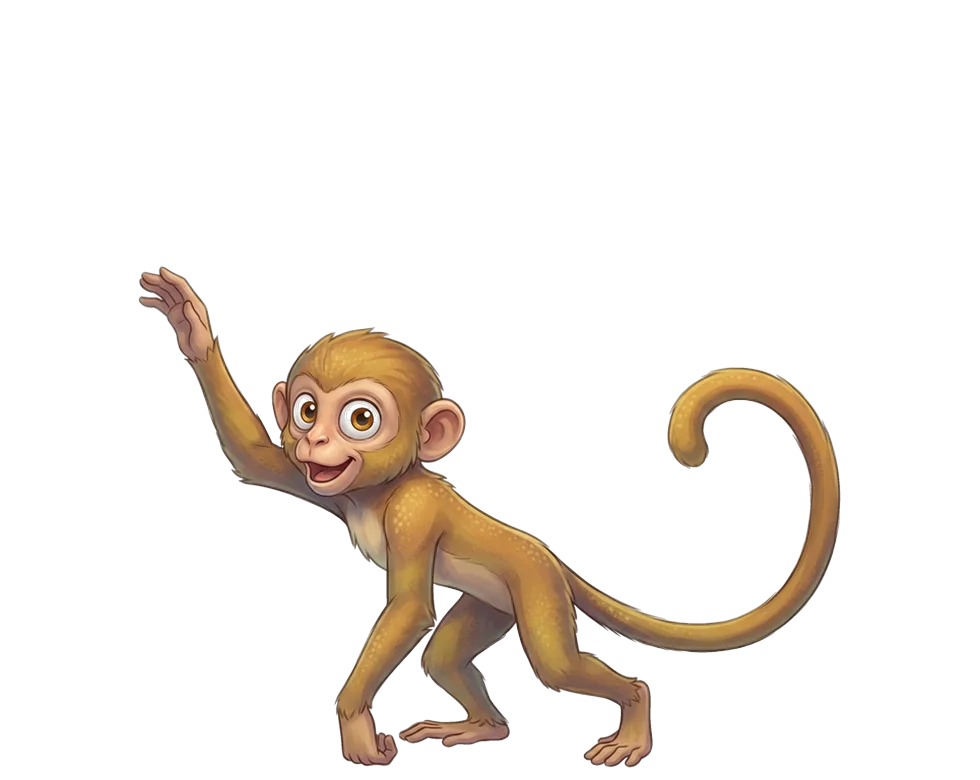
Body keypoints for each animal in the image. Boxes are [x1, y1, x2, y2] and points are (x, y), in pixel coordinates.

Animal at [138, 267, 840, 768]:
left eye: (360, 418)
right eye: (307, 410)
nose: (316, 443)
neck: (376, 492)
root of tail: (551, 558)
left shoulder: (413, 513)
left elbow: (408, 608)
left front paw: (353, 723)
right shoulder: (332, 487)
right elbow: (258, 462)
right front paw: (191, 327)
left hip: (535, 589)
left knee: (555, 668)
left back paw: (634, 718)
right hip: (496, 601)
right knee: (445, 657)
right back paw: (483, 727)